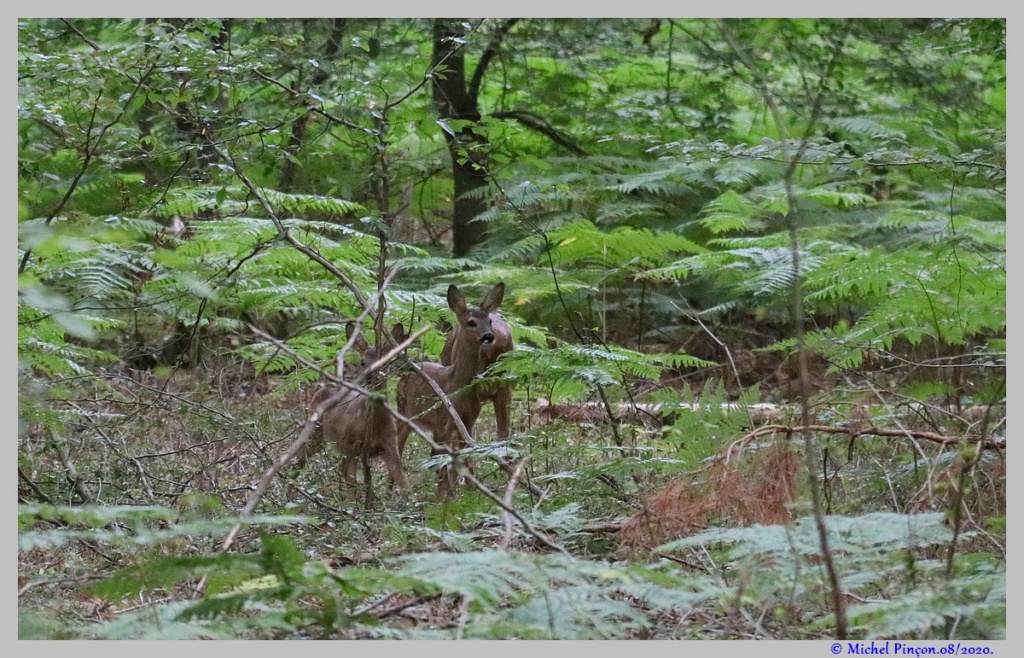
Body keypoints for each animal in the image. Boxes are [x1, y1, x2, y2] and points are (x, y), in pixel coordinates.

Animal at [294, 323, 405, 505]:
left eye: (385, 361)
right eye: (362, 362)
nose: (369, 377)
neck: (375, 424)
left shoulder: (391, 445)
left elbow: (405, 484)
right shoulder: (350, 445)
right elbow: (352, 485)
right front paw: (352, 509)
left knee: (340, 468)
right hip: (317, 432)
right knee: (299, 459)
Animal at [393, 282, 505, 499]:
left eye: (489, 320)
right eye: (471, 322)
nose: (488, 336)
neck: (457, 386)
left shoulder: (468, 422)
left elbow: (462, 461)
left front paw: (463, 493)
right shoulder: (445, 420)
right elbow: (445, 466)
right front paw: (448, 499)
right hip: (405, 412)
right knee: (398, 447)